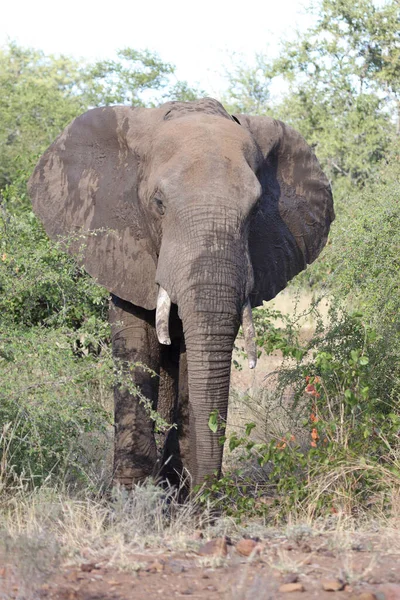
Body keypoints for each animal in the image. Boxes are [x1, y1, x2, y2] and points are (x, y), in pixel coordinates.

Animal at [28, 98, 334, 490]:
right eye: (159, 203)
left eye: (255, 210)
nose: (212, 492)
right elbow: (136, 346)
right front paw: (130, 495)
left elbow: (194, 355)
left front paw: (183, 491)